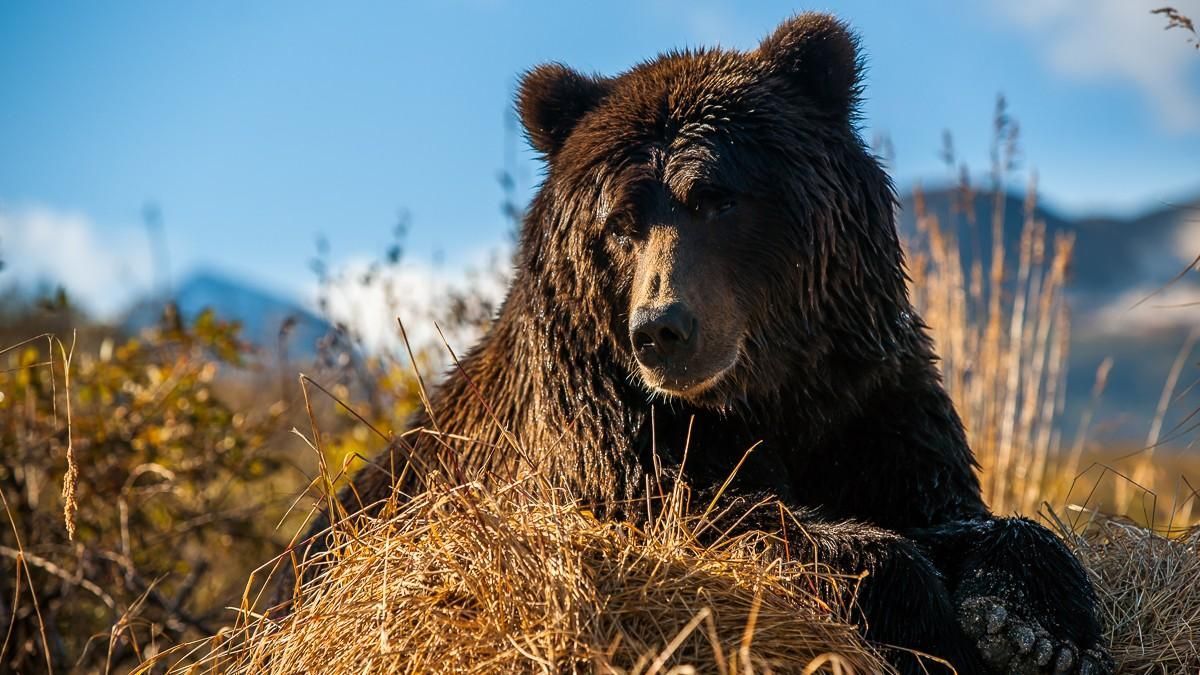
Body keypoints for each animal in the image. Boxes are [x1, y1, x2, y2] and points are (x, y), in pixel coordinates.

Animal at [302, 13, 1112, 675]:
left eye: (717, 198)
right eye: (619, 222)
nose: (661, 329)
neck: (765, 394)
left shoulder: (870, 401)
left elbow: (969, 512)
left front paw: (1034, 631)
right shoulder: (607, 428)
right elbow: (725, 516)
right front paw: (929, 616)